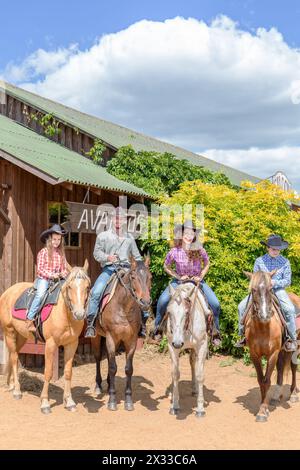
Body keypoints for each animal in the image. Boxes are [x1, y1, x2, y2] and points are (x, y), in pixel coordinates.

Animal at [0, 260, 90, 414]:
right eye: (70, 286)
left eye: (88, 287)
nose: (79, 314)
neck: (64, 314)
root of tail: (7, 292)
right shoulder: (51, 344)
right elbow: (48, 372)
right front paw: (45, 403)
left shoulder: (72, 344)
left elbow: (68, 372)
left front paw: (69, 402)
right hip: (9, 332)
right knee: (14, 358)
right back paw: (17, 391)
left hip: (21, 336)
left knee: (13, 355)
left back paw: (11, 385)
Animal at [90, 253, 151, 412]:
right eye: (133, 277)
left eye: (150, 276)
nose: (145, 302)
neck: (124, 307)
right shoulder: (111, 338)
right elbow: (112, 367)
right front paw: (112, 400)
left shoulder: (131, 341)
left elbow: (128, 369)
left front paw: (128, 400)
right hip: (97, 337)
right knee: (98, 358)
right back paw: (98, 386)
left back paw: (108, 383)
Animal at [166, 280, 209, 416]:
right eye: (169, 312)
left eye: (186, 312)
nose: (178, 343)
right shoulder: (172, 347)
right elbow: (175, 374)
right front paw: (175, 406)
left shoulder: (202, 345)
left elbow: (200, 374)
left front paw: (200, 408)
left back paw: (196, 390)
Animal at [244, 270, 284, 424]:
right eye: (254, 290)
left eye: (271, 289)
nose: (265, 315)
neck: (263, 328)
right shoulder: (254, 355)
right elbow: (261, 380)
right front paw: (263, 408)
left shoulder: (272, 354)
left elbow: (267, 381)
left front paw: (263, 411)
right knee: (281, 369)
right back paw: (276, 397)